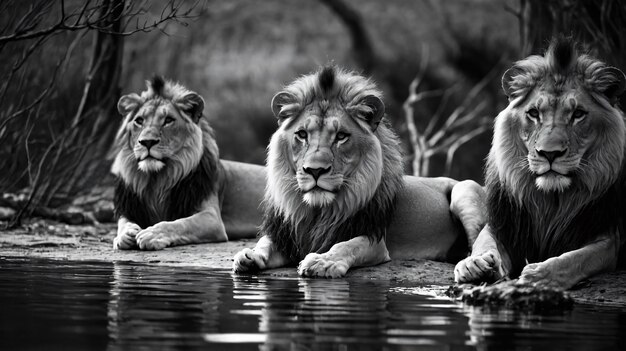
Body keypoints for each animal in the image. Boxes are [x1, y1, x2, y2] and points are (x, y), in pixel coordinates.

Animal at [111, 77, 262, 250]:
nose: (147, 142)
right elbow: (123, 223)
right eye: (139, 121)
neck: (157, 181)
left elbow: (179, 223)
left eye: (168, 120)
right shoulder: (129, 208)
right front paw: (124, 235)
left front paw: (153, 234)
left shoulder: (212, 218)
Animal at [232, 66, 486, 278]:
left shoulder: (375, 240)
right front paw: (250, 255)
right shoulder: (288, 234)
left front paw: (323, 262)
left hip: (465, 190)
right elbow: (265, 242)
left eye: (341, 136)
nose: (315, 170)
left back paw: (473, 265)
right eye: (302, 134)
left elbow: (346, 245)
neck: (317, 211)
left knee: (481, 240)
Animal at [454, 37, 624, 292]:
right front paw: (473, 264)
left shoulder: (609, 237)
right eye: (534, 113)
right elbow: (485, 242)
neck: (552, 201)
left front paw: (542, 275)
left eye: (578, 114)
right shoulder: (505, 225)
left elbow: (577, 258)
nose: (549, 153)